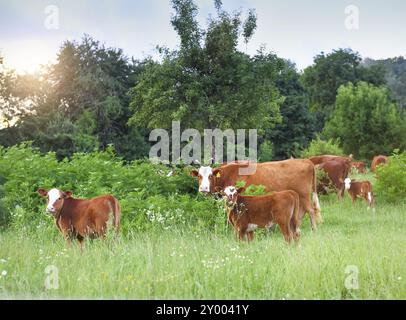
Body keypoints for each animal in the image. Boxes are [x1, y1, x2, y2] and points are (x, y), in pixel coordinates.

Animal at [189, 160, 322, 230]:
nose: (204, 188)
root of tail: (305, 160)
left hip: (304, 195)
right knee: (301, 213)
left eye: (210, 175)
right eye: (199, 176)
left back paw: (314, 230)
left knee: (311, 211)